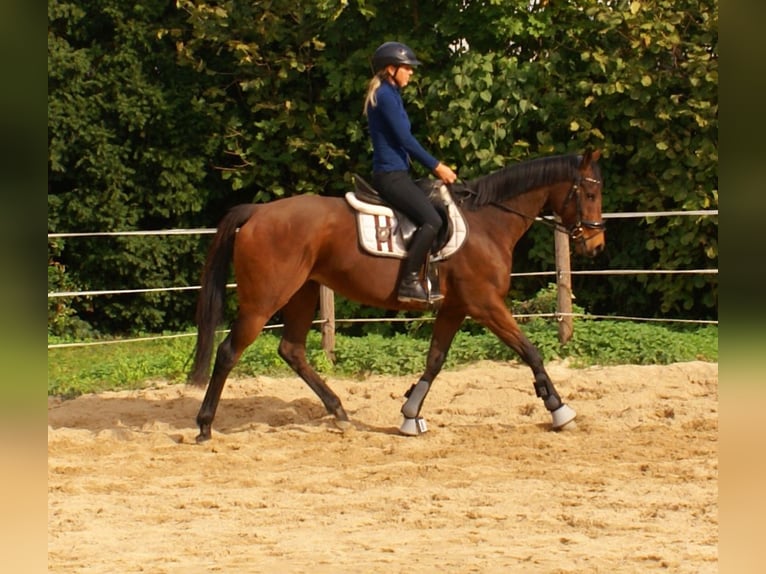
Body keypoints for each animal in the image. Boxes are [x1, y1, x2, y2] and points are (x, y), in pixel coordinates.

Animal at [188, 147, 608, 440]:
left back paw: (339, 412)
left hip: (303, 293)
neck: (487, 221)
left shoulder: (455, 307)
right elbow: (530, 351)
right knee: (229, 352)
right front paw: (559, 409)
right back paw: (205, 425)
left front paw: (410, 414)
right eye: (590, 194)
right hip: (263, 300)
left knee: (292, 350)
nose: (597, 244)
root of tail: (258, 212)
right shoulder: (486, 305)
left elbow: (435, 360)